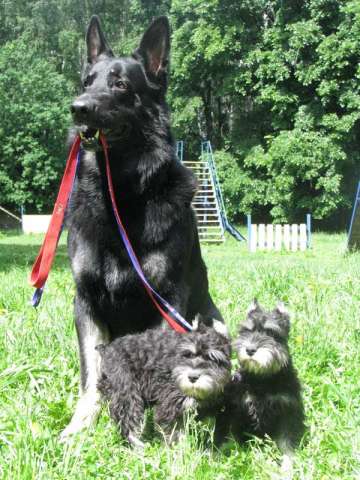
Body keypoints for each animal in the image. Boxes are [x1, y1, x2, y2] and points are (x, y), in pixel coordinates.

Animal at [62, 17, 224, 438]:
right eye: (87, 81)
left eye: (120, 84)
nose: (78, 108)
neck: (120, 196)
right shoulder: (86, 303)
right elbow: (91, 377)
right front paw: (80, 427)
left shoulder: (168, 301)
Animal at [95, 318, 231, 446]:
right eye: (188, 355)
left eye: (212, 358)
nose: (192, 377)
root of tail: (107, 349)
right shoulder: (170, 405)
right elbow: (174, 432)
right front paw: (178, 448)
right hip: (127, 392)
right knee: (127, 419)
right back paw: (139, 445)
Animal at [215, 302, 306, 466]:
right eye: (246, 331)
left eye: (270, 332)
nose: (250, 349)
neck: (261, 379)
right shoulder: (234, 409)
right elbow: (229, 437)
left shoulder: (288, 411)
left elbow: (287, 442)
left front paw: (288, 465)